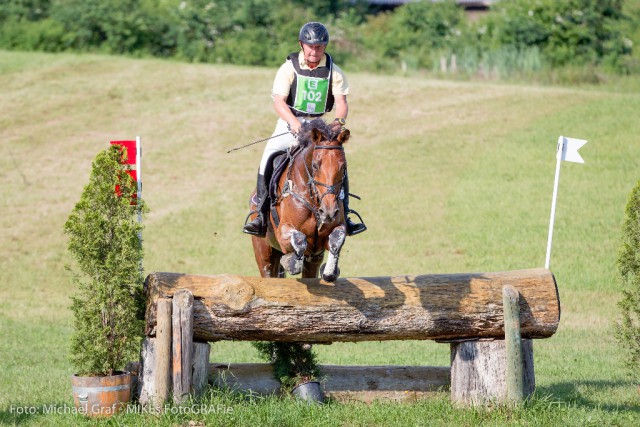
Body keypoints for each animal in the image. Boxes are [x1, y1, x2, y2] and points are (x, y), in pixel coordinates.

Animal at [250, 118, 350, 282]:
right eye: (315, 165)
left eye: (343, 167)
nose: (328, 212)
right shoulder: (283, 232)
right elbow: (299, 239)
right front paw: (291, 262)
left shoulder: (335, 230)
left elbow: (337, 239)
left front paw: (330, 272)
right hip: (263, 251)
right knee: (268, 271)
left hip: (313, 260)